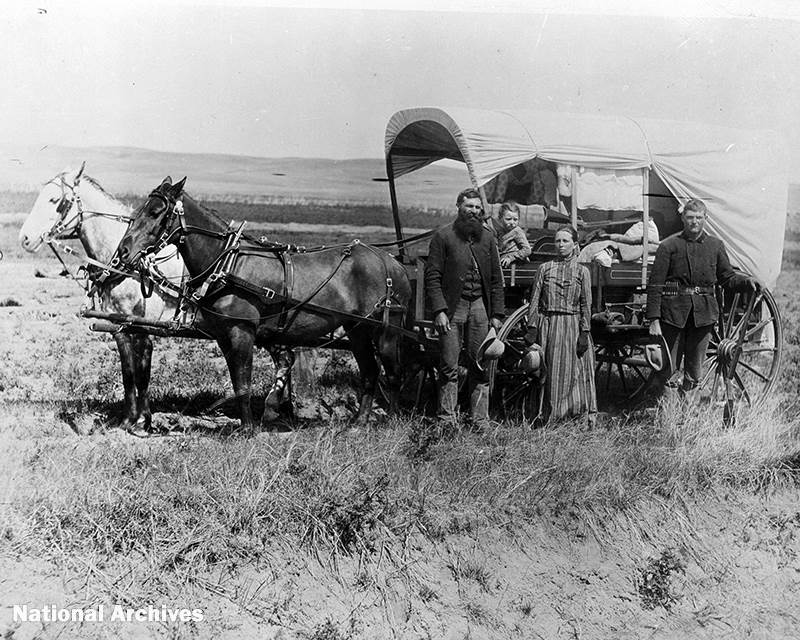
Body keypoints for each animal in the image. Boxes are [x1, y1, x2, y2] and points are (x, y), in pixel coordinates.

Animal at [18, 165, 294, 436]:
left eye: (55, 200)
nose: (25, 239)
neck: (128, 266)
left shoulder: (142, 328)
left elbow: (142, 373)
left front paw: (144, 421)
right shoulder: (120, 328)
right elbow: (128, 372)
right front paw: (128, 419)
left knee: (285, 359)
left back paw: (273, 409)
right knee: (286, 359)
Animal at [115, 178, 410, 432]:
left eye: (155, 212)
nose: (123, 252)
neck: (228, 263)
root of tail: (392, 263)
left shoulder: (242, 332)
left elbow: (243, 383)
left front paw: (248, 429)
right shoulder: (224, 335)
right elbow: (237, 382)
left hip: (387, 331)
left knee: (394, 374)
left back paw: (392, 421)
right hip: (357, 329)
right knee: (370, 372)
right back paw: (359, 422)